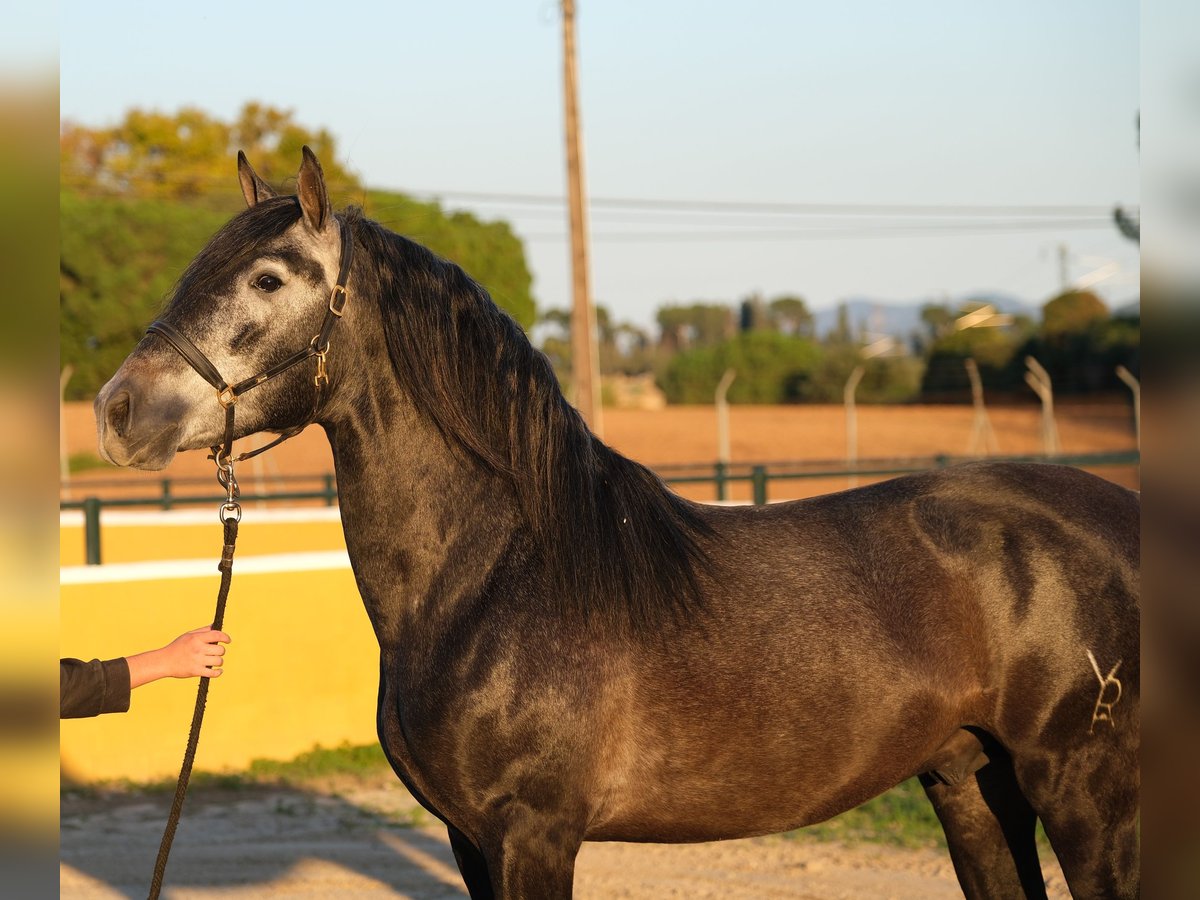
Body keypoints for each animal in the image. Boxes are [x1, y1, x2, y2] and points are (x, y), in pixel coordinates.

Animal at [93, 150, 1132, 900]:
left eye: (269, 279)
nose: (115, 410)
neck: (494, 581)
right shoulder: (469, 840)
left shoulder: (534, 835)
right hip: (971, 784)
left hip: (1082, 792)